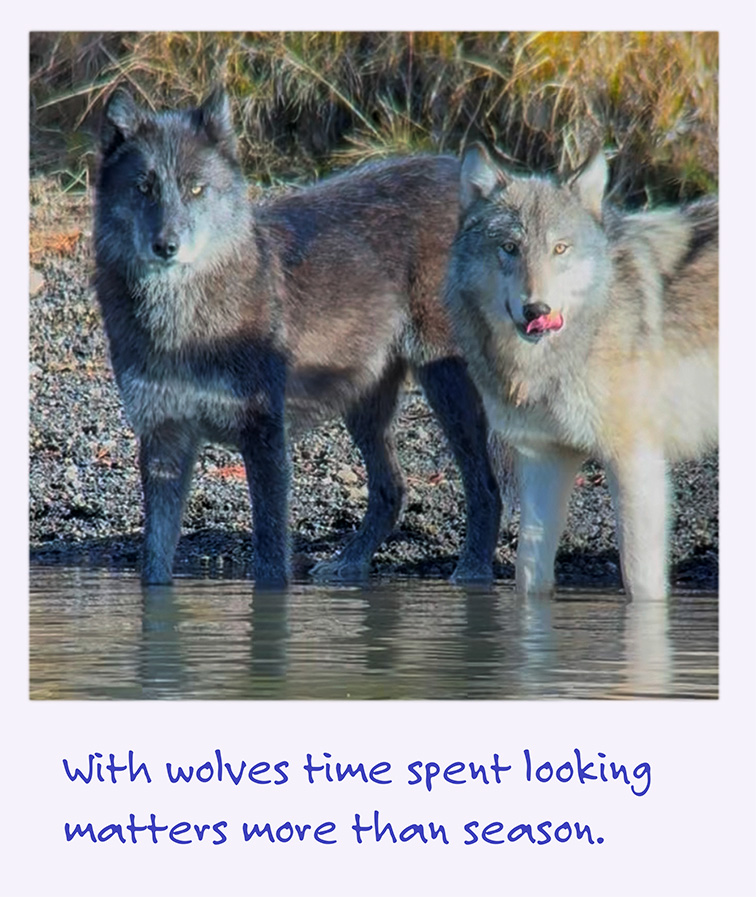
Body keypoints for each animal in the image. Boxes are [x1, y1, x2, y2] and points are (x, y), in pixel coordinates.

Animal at [93, 89, 501, 587]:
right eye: (144, 187)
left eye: (196, 189)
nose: (166, 245)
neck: (181, 323)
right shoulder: (164, 438)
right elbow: (154, 558)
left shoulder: (263, 433)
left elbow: (270, 554)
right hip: (364, 404)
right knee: (393, 489)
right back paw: (349, 563)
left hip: (445, 384)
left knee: (485, 486)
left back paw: (473, 571)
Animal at [444, 144, 718, 601]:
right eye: (510, 247)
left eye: (560, 249)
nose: (536, 309)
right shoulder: (544, 458)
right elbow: (528, 576)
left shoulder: (635, 461)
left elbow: (640, 582)